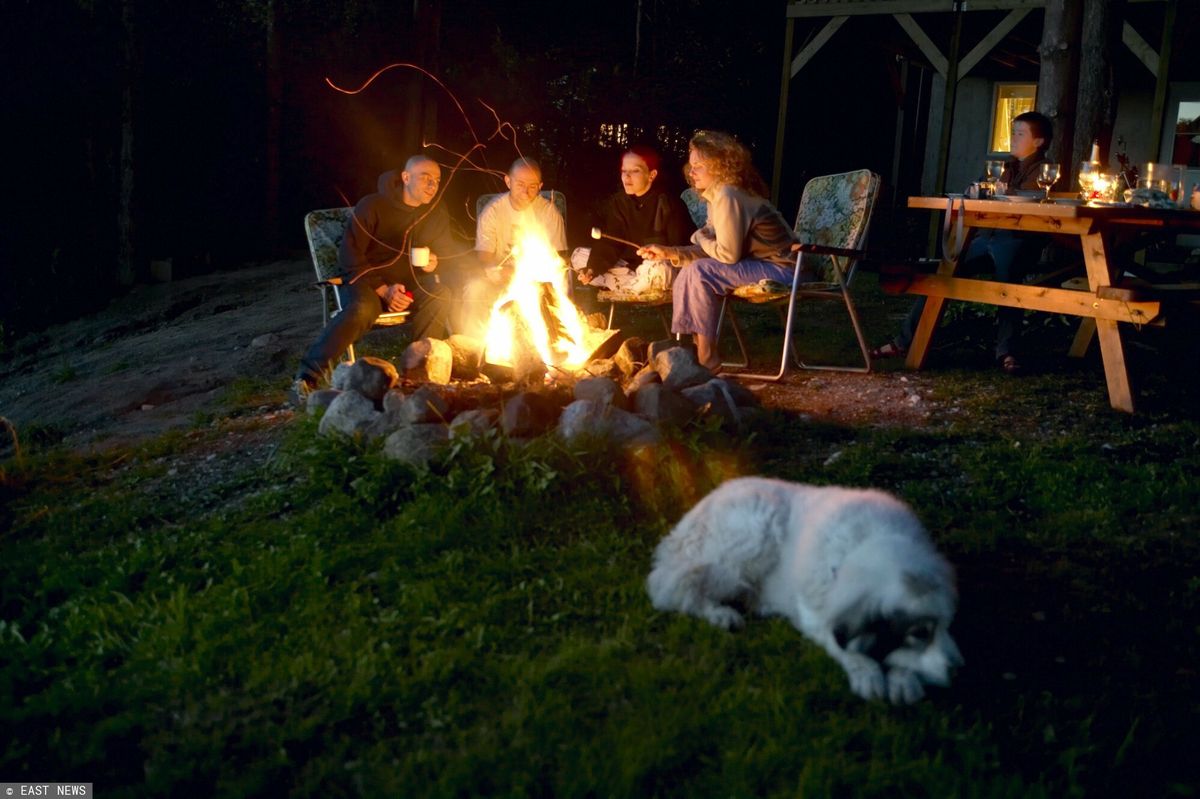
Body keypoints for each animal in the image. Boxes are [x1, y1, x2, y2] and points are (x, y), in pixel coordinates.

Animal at [648, 475, 964, 700]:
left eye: (950, 625)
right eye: (920, 633)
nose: (960, 671)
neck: (862, 545)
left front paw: (902, 677)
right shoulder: (816, 613)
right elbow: (841, 642)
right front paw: (867, 672)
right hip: (753, 538)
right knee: (672, 586)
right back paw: (719, 614)